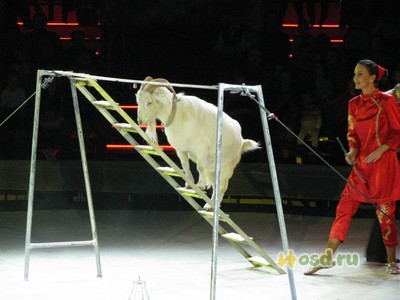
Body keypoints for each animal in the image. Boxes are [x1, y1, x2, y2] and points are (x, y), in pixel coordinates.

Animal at [135, 76, 260, 210]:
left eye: (149, 102)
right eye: (138, 101)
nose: (140, 121)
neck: (178, 114)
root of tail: (242, 142)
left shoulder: (202, 148)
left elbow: (199, 167)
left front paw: (200, 185)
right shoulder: (181, 149)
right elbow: (185, 164)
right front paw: (189, 183)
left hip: (226, 167)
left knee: (221, 187)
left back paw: (211, 206)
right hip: (212, 169)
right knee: (215, 185)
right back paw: (209, 205)